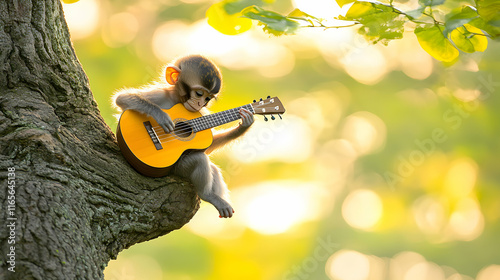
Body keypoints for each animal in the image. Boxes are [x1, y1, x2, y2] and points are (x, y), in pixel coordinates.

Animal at [114, 53, 254, 218]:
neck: (177, 100)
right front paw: (161, 115)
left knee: (209, 165)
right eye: (199, 93)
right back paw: (208, 195)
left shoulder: (200, 113)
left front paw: (244, 125)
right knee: (200, 159)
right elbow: (122, 98)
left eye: (207, 99)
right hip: (177, 169)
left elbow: (209, 146)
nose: (200, 103)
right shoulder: (161, 94)